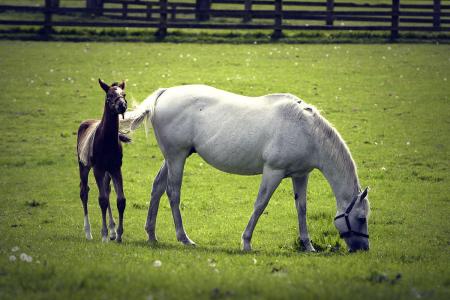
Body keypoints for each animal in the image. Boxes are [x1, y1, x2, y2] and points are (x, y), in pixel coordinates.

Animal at [77, 79, 129, 241]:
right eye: (109, 95)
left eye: (124, 94)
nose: (122, 105)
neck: (107, 140)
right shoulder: (98, 169)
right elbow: (102, 200)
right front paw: (104, 235)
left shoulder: (116, 168)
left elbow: (120, 200)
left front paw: (118, 235)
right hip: (83, 166)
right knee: (84, 192)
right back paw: (88, 232)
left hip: (107, 172)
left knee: (107, 189)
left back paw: (112, 231)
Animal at [121, 85, 370, 253]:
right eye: (361, 218)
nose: (363, 248)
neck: (306, 130)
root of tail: (164, 93)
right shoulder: (273, 172)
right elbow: (260, 204)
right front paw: (247, 242)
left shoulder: (300, 175)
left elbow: (302, 209)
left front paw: (308, 245)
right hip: (176, 157)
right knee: (173, 193)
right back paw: (184, 238)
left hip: (174, 158)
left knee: (157, 187)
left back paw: (151, 234)